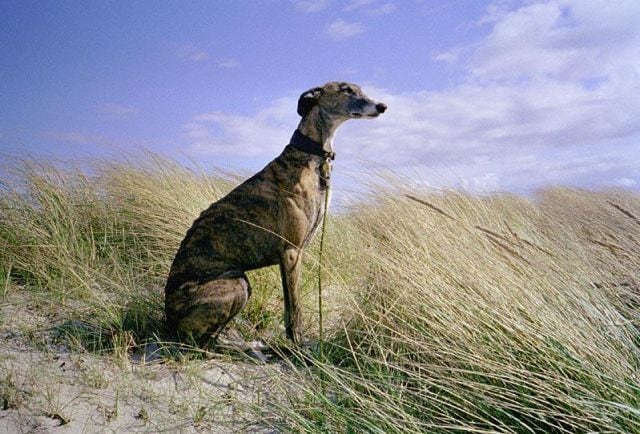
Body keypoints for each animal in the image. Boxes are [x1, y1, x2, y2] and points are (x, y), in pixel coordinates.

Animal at [164, 80, 384, 352]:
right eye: (345, 89)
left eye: (359, 88)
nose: (382, 106)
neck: (312, 157)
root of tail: (168, 319)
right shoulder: (291, 252)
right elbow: (295, 310)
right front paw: (299, 347)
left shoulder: (289, 256)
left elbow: (290, 308)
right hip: (236, 283)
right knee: (199, 342)